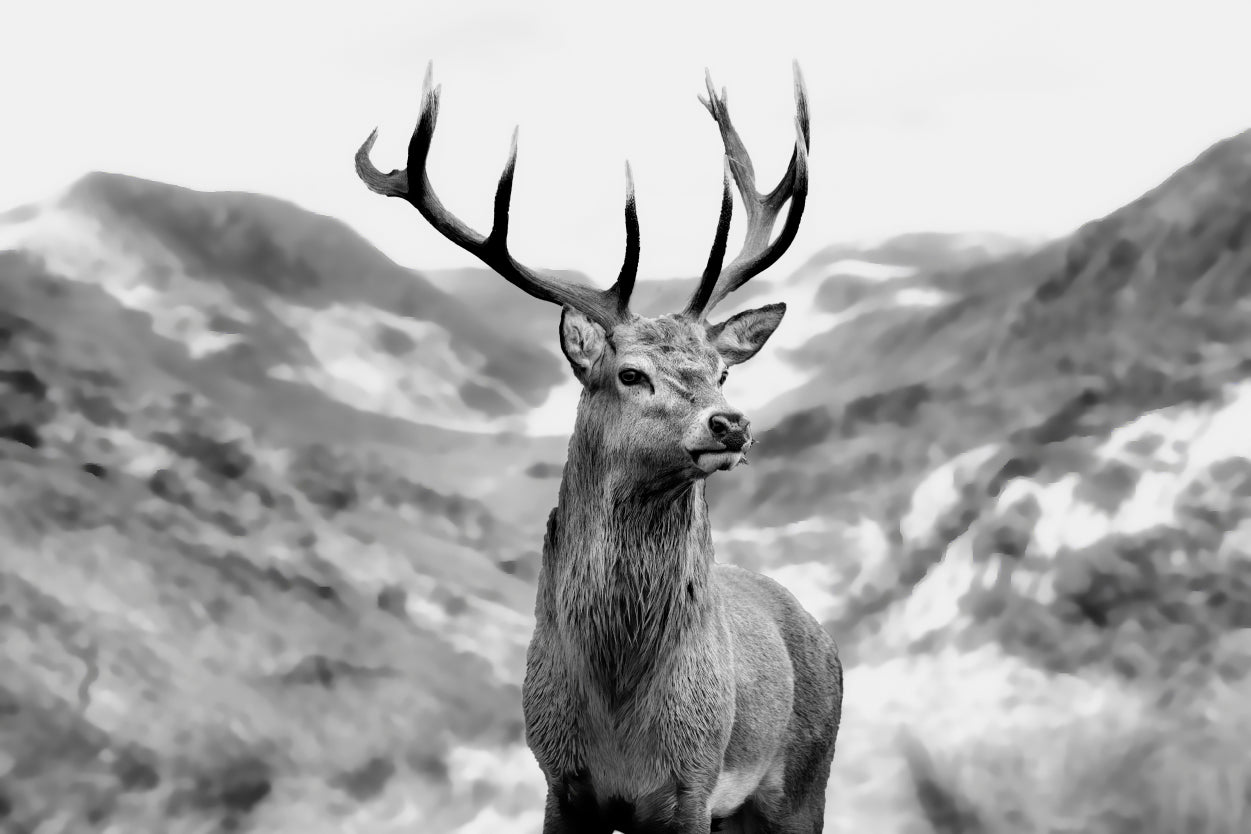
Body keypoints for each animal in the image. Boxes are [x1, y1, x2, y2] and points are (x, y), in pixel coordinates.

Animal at [356, 62, 842, 834]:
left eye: (722, 372)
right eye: (630, 373)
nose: (730, 424)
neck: (616, 711)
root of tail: (819, 633)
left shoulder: (692, 783)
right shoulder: (559, 778)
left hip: (803, 781)